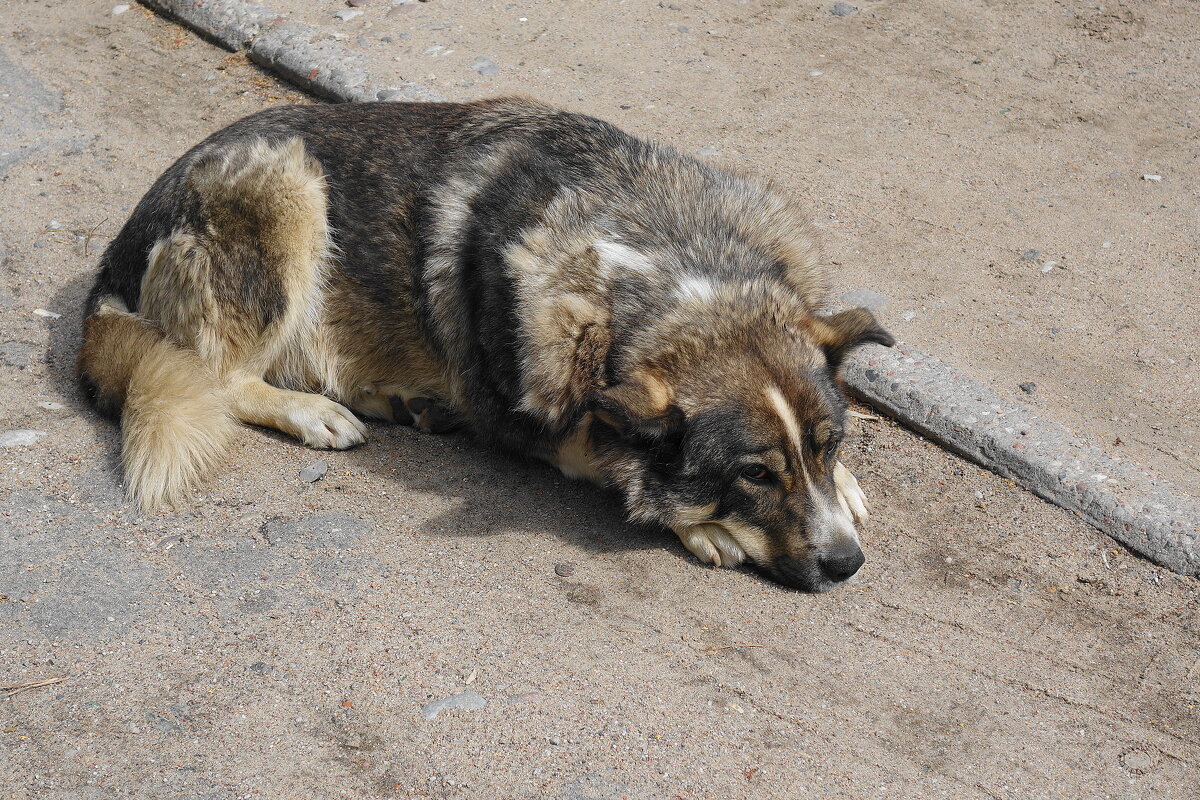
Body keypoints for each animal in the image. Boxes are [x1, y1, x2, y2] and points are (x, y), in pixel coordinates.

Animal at [77, 97, 892, 592]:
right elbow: (604, 451)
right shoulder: (533, 420)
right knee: (218, 373)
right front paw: (702, 525)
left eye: (827, 444)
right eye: (753, 475)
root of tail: (119, 248)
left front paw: (846, 486)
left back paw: (399, 400)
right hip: (284, 187)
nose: (848, 565)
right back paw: (316, 412)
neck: (674, 273)